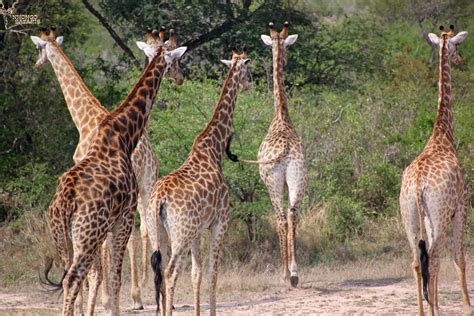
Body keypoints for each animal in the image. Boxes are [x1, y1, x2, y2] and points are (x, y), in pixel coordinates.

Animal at [30, 26, 185, 312]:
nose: (180, 77)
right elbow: (113, 275)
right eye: (176, 59)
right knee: (75, 276)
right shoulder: (122, 217)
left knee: (71, 276)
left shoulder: (119, 217)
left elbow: (108, 273)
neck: (122, 132)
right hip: (86, 232)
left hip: (65, 236)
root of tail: (65, 202)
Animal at [147, 47, 252, 316]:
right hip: (180, 234)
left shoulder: (197, 231)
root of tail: (159, 198)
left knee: (160, 273)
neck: (213, 148)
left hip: (157, 232)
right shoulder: (220, 223)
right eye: (249, 69)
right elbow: (213, 274)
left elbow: (197, 274)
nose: (250, 83)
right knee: (171, 272)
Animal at [231, 22, 310, 288]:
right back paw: (295, 272)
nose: (284, 59)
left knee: (281, 218)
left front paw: (283, 272)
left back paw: (286, 274)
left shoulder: (269, 183)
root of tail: (285, 151)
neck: (281, 116)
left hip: (273, 182)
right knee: (292, 214)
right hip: (298, 179)